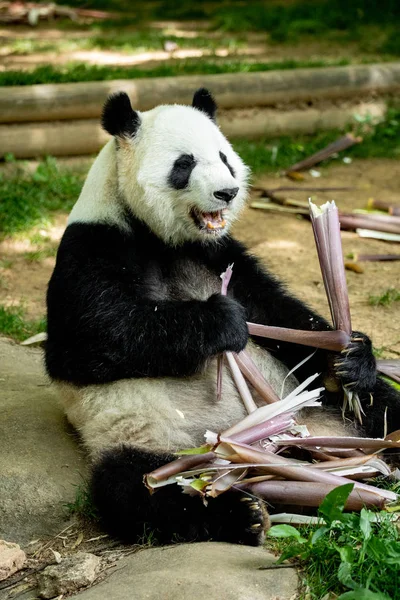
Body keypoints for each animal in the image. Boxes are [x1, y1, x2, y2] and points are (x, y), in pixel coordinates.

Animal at [45, 88, 400, 548]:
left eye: (225, 158)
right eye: (184, 164)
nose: (227, 192)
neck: (161, 238)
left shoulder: (219, 253)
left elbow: (284, 320)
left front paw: (349, 354)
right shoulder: (93, 243)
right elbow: (87, 340)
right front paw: (221, 321)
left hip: (322, 400)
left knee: (383, 407)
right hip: (152, 439)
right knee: (136, 487)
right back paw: (242, 513)